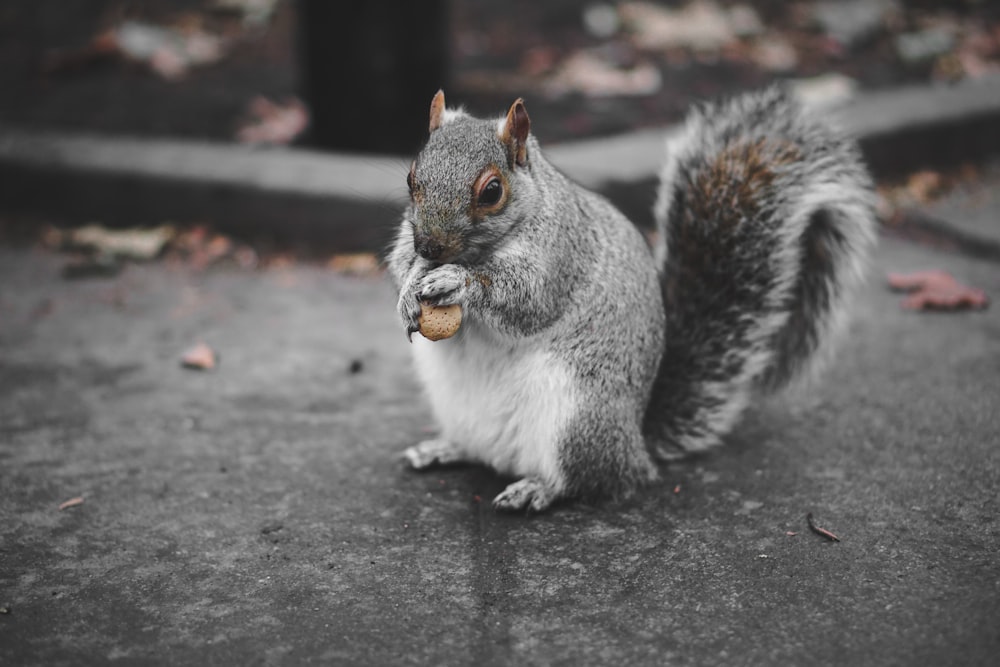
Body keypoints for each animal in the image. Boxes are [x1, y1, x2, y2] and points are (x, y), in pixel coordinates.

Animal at [386, 86, 872, 516]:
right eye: (410, 179)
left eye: (492, 191)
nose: (430, 246)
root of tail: (636, 443)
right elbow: (399, 262)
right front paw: (409, 288)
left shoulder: (562, 255)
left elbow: (528, 301)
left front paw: (460, 282)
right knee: (480, 450)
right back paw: (442, 449)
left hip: (577, 418)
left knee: (592, 479)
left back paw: (538, 488)